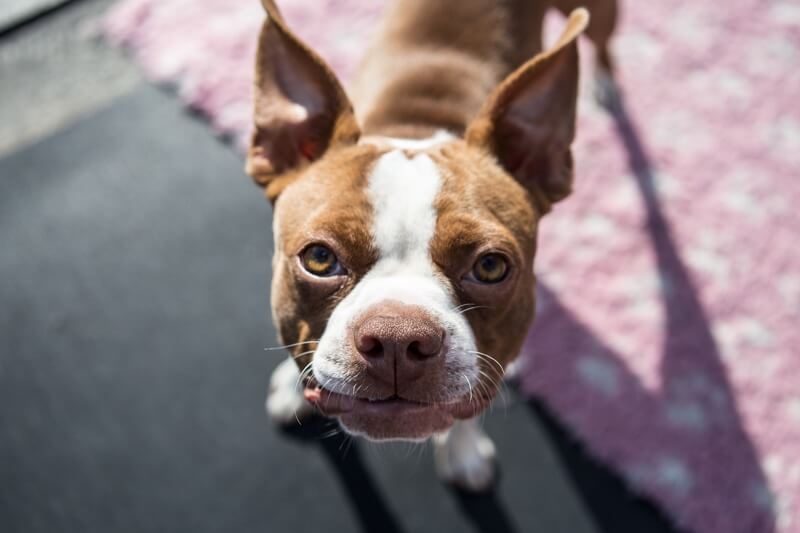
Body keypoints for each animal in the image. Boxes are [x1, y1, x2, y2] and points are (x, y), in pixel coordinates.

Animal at [247, 0, 616, 490]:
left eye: (491, 267)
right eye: (320, 259)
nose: (397, 338)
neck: (417, 129)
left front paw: (463, 452)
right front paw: (291, 388)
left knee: (604, 43)